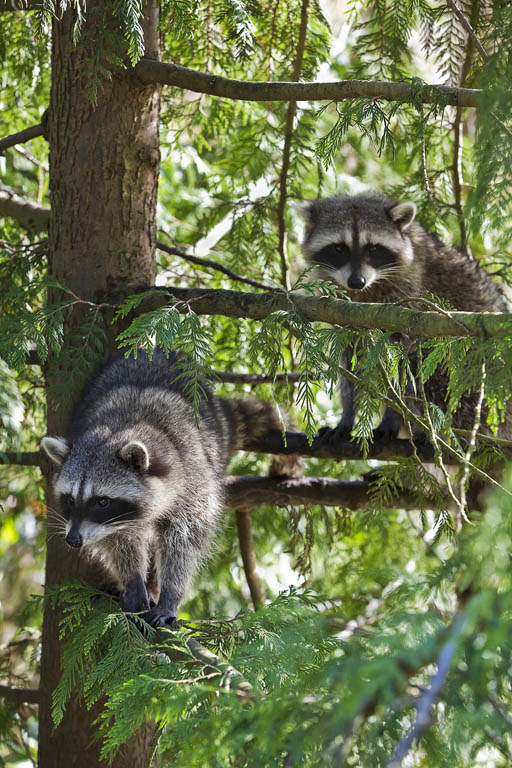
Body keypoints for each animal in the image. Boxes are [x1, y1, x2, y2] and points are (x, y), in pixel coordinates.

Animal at [44, 352, 302, 628]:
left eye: (102, 501)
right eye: (70, 499)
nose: (73, 540)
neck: (124, 426)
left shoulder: (193, 481)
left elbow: (183, 541)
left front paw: (169, 594)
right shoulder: (110, 523)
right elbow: (119, 542)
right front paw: (133, 582)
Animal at [298, 192, 510, 448]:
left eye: (373, 248)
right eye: (339, 248)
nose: (356, 281)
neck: (365, 292)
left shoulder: (410, 295)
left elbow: (401, 364)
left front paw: (392, 417)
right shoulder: (342, 313)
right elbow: (351, 364)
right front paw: (347, 417)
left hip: (470, 386)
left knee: (424, 370)